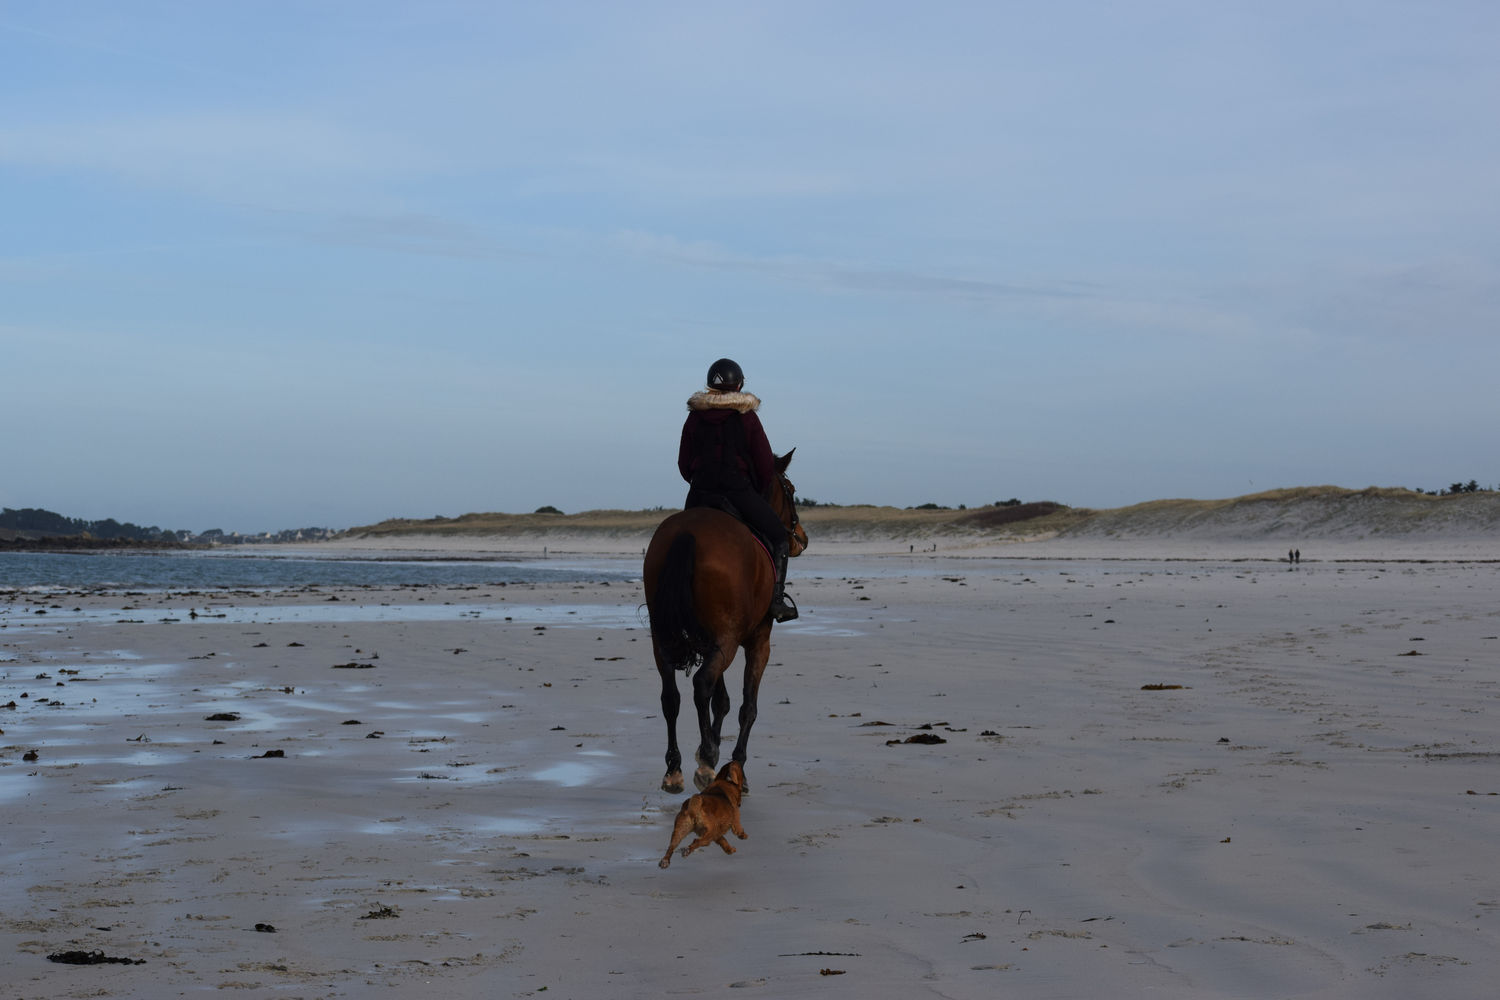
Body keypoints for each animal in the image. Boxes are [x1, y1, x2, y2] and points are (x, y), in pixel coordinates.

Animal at [645, 449, 810, 791]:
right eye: (790, 489)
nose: (801, 538)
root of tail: (688, 532)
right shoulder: (756, 643)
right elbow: (748, 707)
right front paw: (735, 767)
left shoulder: (713, 641)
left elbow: (720, 700)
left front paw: (711, 747)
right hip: (728, 642)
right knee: (701, 684)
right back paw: (706, 762)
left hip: (665, 638)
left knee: (671, 696)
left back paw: (675, 768)